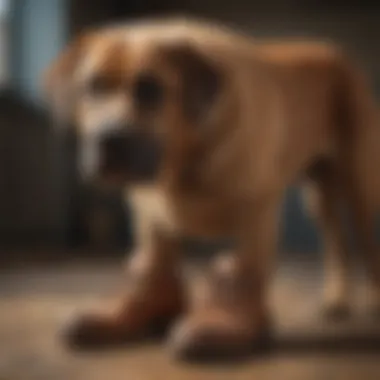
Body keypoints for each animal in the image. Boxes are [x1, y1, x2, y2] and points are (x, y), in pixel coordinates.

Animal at [42, 17, 380, 360]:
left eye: (150, 89)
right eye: (93, 87)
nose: (108, 141)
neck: (181, 164)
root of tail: (333, 51)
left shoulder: (255, 213)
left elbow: (242, 269)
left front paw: (228, 325)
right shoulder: (148, 214)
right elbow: (152, 267)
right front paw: (135, 312)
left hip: (360, 186)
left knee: (367, 242)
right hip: (317, 197)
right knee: (335, 240)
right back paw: (336, 298)